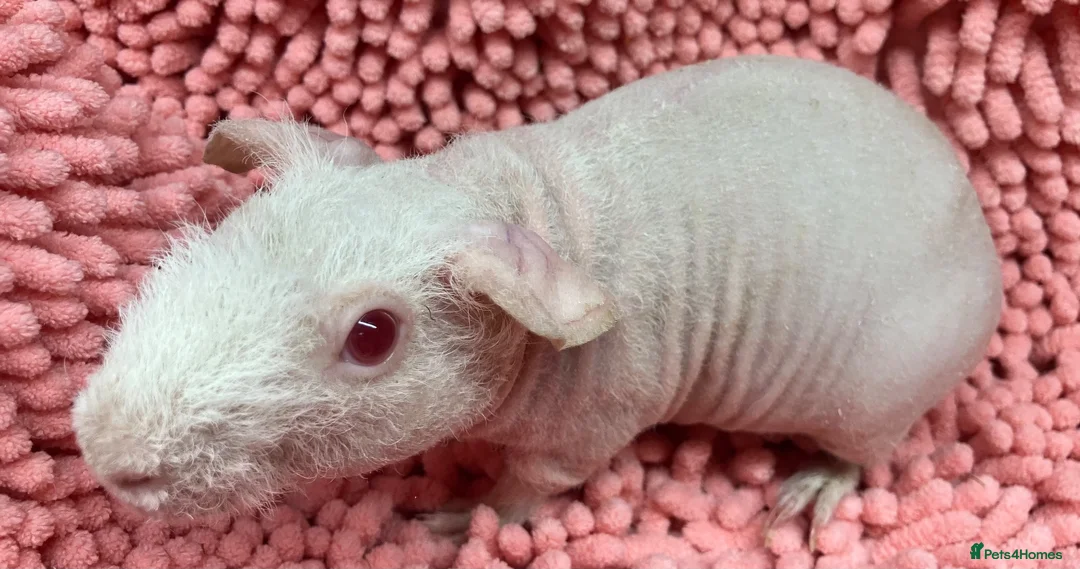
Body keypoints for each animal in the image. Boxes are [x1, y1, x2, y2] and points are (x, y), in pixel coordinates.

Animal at [72, 54, 1003, 549]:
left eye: (372, 336)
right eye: (240, 227)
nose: (106, 453)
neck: (514, 199)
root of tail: (986, 253)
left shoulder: (594, 417)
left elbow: (536, 481)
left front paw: (459, 517)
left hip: (877, 395)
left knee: (863, 452)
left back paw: (815, 487)